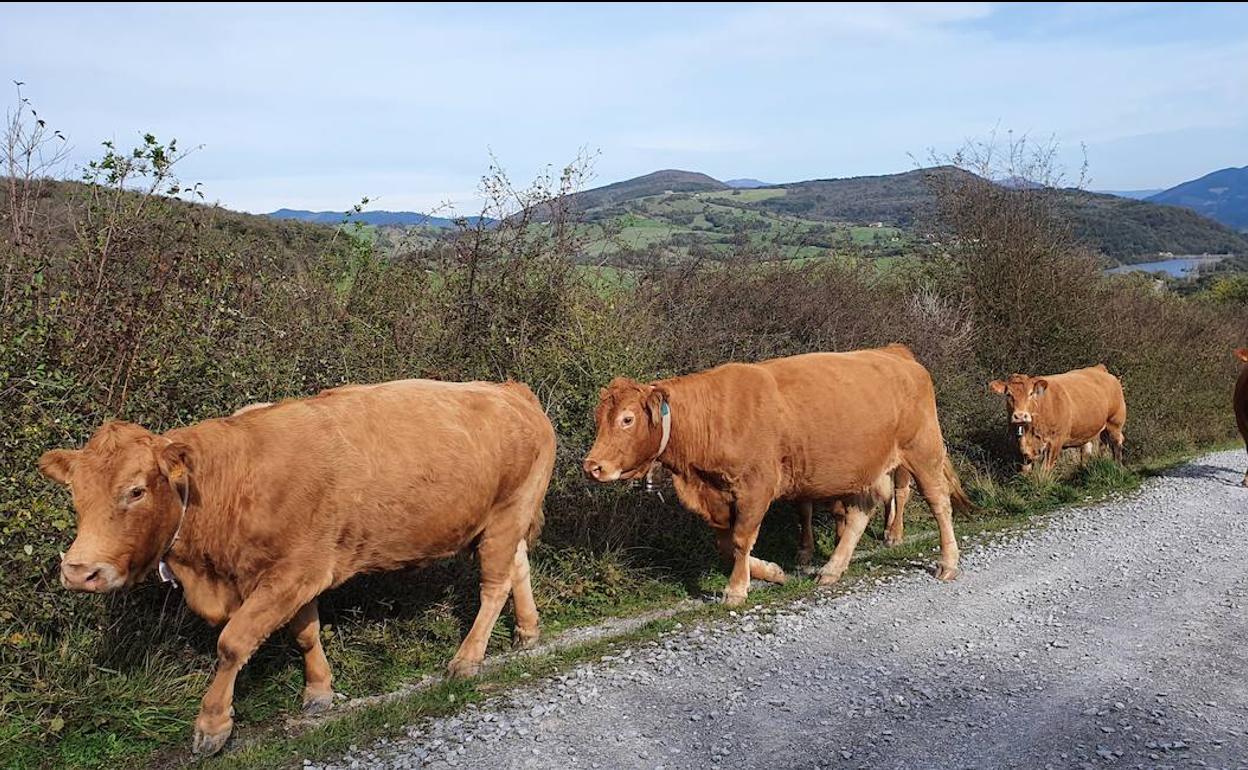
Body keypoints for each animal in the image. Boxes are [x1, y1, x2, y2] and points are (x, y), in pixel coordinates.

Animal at [36, 379, 554, 748]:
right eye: (76, 494)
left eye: (136, 490)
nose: (79, 571)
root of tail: (509, 389)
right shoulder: (297, 575)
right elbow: (305, 632)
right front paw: (319, 691)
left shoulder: (293, 573)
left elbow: (232, 643)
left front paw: (212, 726)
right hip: (508, 518)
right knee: (519, 568)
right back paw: (528, 632)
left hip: (506, 516)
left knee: (493, 587)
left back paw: (467, 659)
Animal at [584, 344, 973, 606]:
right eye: (599, 418)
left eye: (627, 419)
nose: (592, 466)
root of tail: (896, 355)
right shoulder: (718, 498)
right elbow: (726, 545)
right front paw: (772, 572)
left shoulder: (755, 488)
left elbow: (741, 540)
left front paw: (735, 589)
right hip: (867, 466)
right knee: (860, 512)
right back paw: (832, 568)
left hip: (922, 451)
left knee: (939, 503)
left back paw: (948, 562)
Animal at [988, 364, 1128, 471]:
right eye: (1008, 394)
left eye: (1031, 393)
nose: (1020, 415)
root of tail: (1099, 369)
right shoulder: (1021, 446)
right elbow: (1025, 469)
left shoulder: (1055, 441)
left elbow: (1045, 469)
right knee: (1092, 449)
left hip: (1114, 423)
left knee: (1117, 444)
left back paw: (1118, 467)